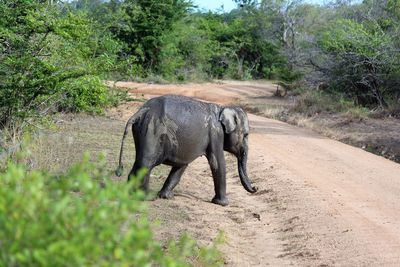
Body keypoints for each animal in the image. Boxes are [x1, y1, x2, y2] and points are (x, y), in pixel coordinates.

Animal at [115, 94, 258, 207]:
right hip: (152, 129)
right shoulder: (216, 133)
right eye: (246, 135)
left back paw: (130, 193)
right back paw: (146, 197)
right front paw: (223, 203)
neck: (222, 108)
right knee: (146, 163)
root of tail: (142, 110)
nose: (256, 187)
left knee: (139, 161)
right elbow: (217, 163)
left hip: (141, 130)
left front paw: (167, 196)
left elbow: (181, 165)